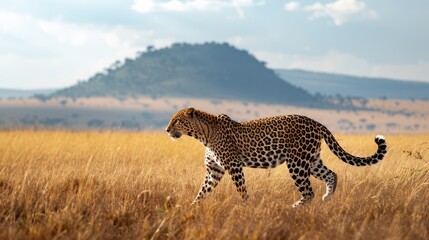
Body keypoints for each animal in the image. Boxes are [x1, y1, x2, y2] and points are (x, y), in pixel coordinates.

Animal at [166, 108, 386, 207]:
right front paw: (191, 207)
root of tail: (317, 123)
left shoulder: (233, 165)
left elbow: (241, 190)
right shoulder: (214, 170)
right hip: (312, 160)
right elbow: (203, 191)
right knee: (332, 174)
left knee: (308, 191)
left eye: (176, 121)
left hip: (297, 163)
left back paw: (295, 207)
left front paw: (247, 207)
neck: (204, 135)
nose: (167, 130)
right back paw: (327, 198)